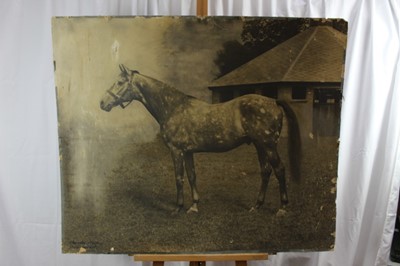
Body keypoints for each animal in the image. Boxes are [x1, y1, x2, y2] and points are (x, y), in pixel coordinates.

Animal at [100, 64, 300, 214]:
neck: (173, 108)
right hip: (260, 146)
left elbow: (179, 178)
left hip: (269, 145)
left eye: (120, 82)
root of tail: (273, 101)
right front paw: (194, 206)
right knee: (265, 171)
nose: (102, 103)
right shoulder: (188, 152)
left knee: (279, 170)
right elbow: (192, 176)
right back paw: (256, 206)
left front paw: (178, 208)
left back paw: (282, 208)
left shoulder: (176, 151)